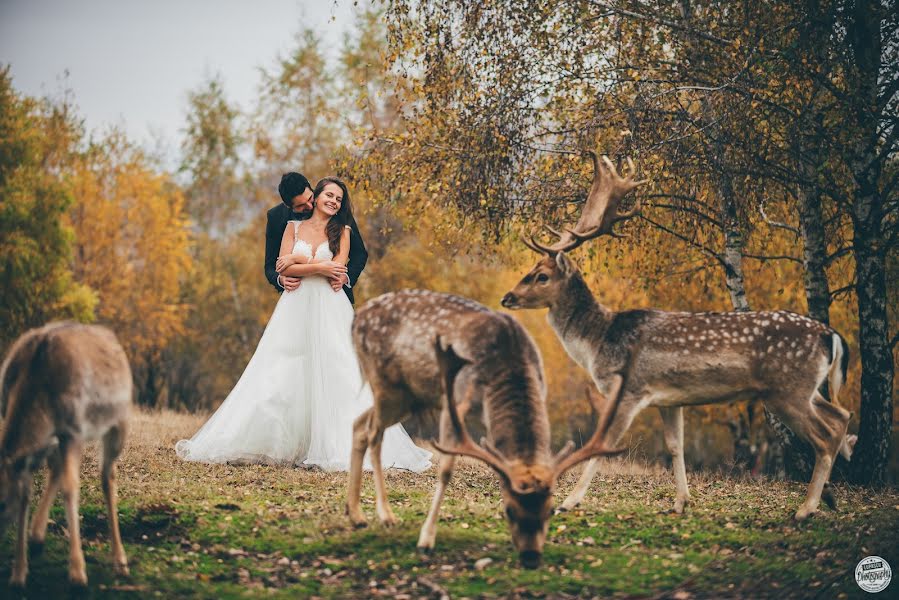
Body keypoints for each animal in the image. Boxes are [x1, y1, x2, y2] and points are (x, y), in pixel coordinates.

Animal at [0, 324, 132, 584]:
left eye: (1, 504)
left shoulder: (73, 430)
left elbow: (71, 488)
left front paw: (78, 575)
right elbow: (26, 494)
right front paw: (18, 574)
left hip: (118, 422)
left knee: (107, 477)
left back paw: (120, 562)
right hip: (52, 442)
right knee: (56, 469)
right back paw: (36, 538)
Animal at [346, 290, 624, 568]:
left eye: (550, 509)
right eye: (509, 510)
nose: (531, 557)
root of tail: (358, 318)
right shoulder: (454, 404)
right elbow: (445, 471)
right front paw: (426, 540)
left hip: (409, 397)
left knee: (359, 423)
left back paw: (356, 515)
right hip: (384, 383)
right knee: (374, 434)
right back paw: (385, 515)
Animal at [500, 151, 856, 520]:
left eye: (541, 276)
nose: (507, 297)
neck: (599, 341)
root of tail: (831, 335)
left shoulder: (628, 390)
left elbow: (604, 445)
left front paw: (569, 501)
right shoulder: (670, 400)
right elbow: (675, 446)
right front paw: (681, 502)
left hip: (786, 391)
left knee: (824, 436)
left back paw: (807, 508)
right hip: (805, 388)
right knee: (841, 415)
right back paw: (830, 493)